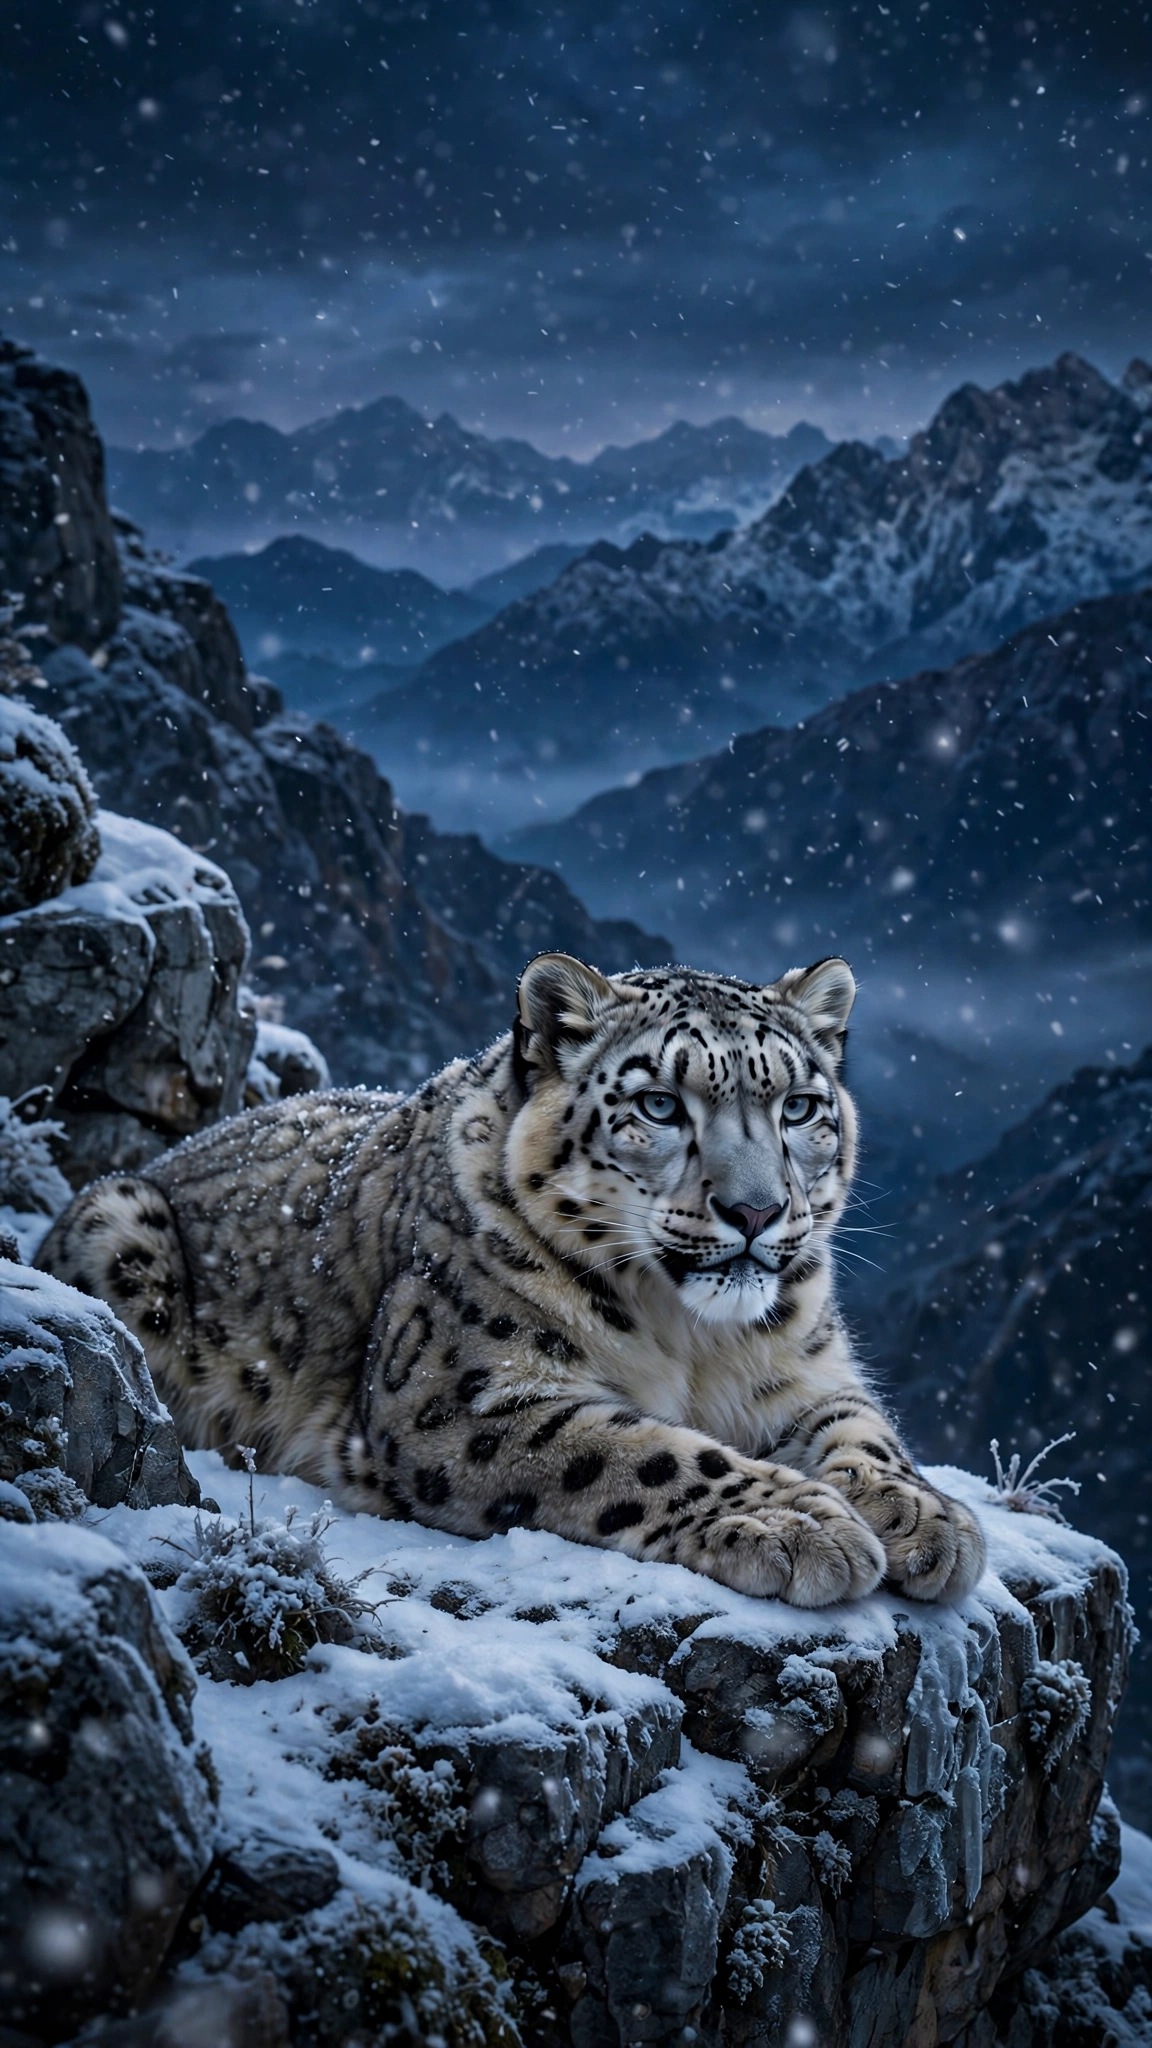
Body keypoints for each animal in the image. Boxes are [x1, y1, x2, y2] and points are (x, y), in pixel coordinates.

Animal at [38, 951, 985, 1608]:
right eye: (660, 1105)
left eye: (798, 1108)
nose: (756, 1210)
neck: (694, 1339)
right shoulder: (459, 1399)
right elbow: (642, 1452)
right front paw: (805, 1523)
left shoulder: (806, 1370)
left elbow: (862, 1429)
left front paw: (926, 1518)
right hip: (119, 1222)